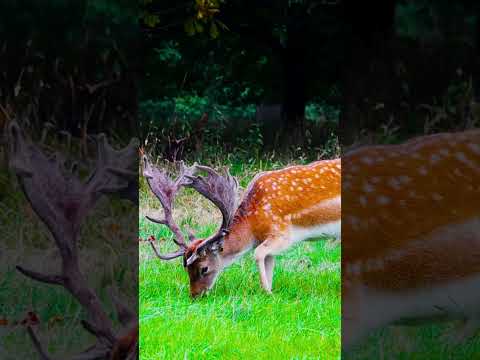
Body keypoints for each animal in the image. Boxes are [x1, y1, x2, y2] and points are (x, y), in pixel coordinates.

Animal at [142, 156, 342, 296]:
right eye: (185, 268)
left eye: (203, 268)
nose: (195, 295)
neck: (253, 224)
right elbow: (269, 261)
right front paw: (270, 289)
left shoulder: (283, 232)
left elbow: (258, 253)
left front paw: (267, 293)